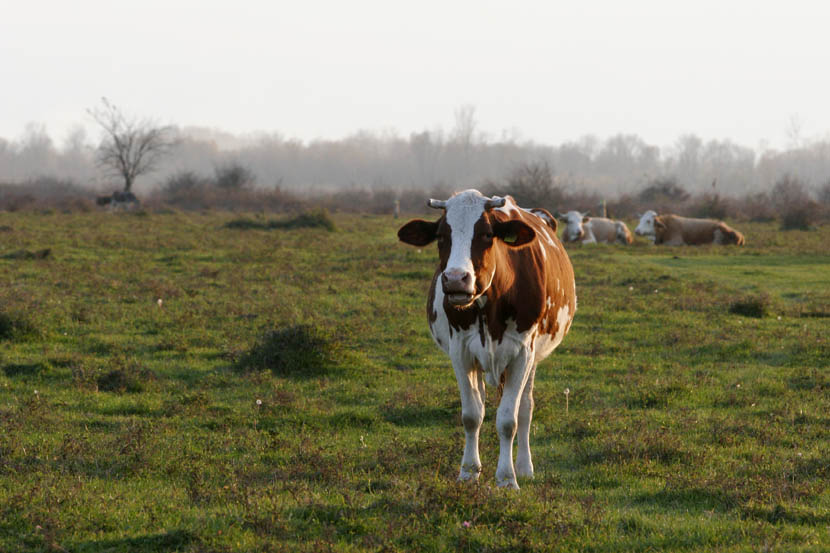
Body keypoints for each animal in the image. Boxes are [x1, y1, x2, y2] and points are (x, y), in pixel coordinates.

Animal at [400, 189, 576, 488]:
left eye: (485, 234)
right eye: (442, 236)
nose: (456, 279)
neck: (489, 305)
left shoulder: (522, 352)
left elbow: (508, 420)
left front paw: (507, 477)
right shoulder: (461, 352)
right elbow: (472, 415)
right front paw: (469, 472)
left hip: (533, 358)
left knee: (525, 408)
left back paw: (524, 467)